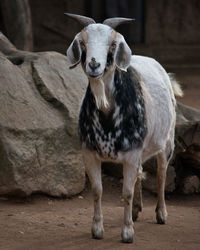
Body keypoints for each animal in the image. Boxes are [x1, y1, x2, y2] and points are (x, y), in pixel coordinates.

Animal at [65, 13, 183, 242]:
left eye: (112, 45)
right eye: (83, 43)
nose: (94, 64)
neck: (107, 113)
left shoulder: (131, 153)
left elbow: (126, 192)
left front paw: (127, 232)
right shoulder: (89, 152)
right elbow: (97, 190)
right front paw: (97, 229)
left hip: (167, 141)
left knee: (162, 174)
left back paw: (161, 213)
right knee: (140, 172)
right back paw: (137, 210)